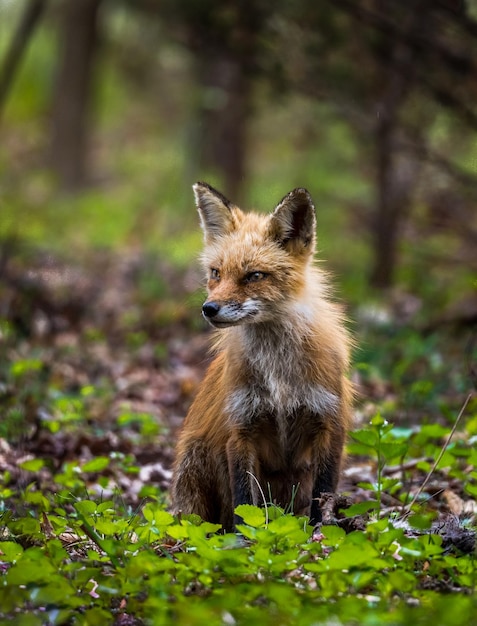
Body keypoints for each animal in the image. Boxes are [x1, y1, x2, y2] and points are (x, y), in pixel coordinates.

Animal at [172, 183, 354, 528]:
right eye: (216, 273)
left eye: (254, 276)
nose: (208, 308)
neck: (277, 370)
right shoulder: (241, 428)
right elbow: (245, 503)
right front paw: (246, 539)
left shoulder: (328, 423)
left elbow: (322, 493)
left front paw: (319, 533)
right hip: (193, 467)